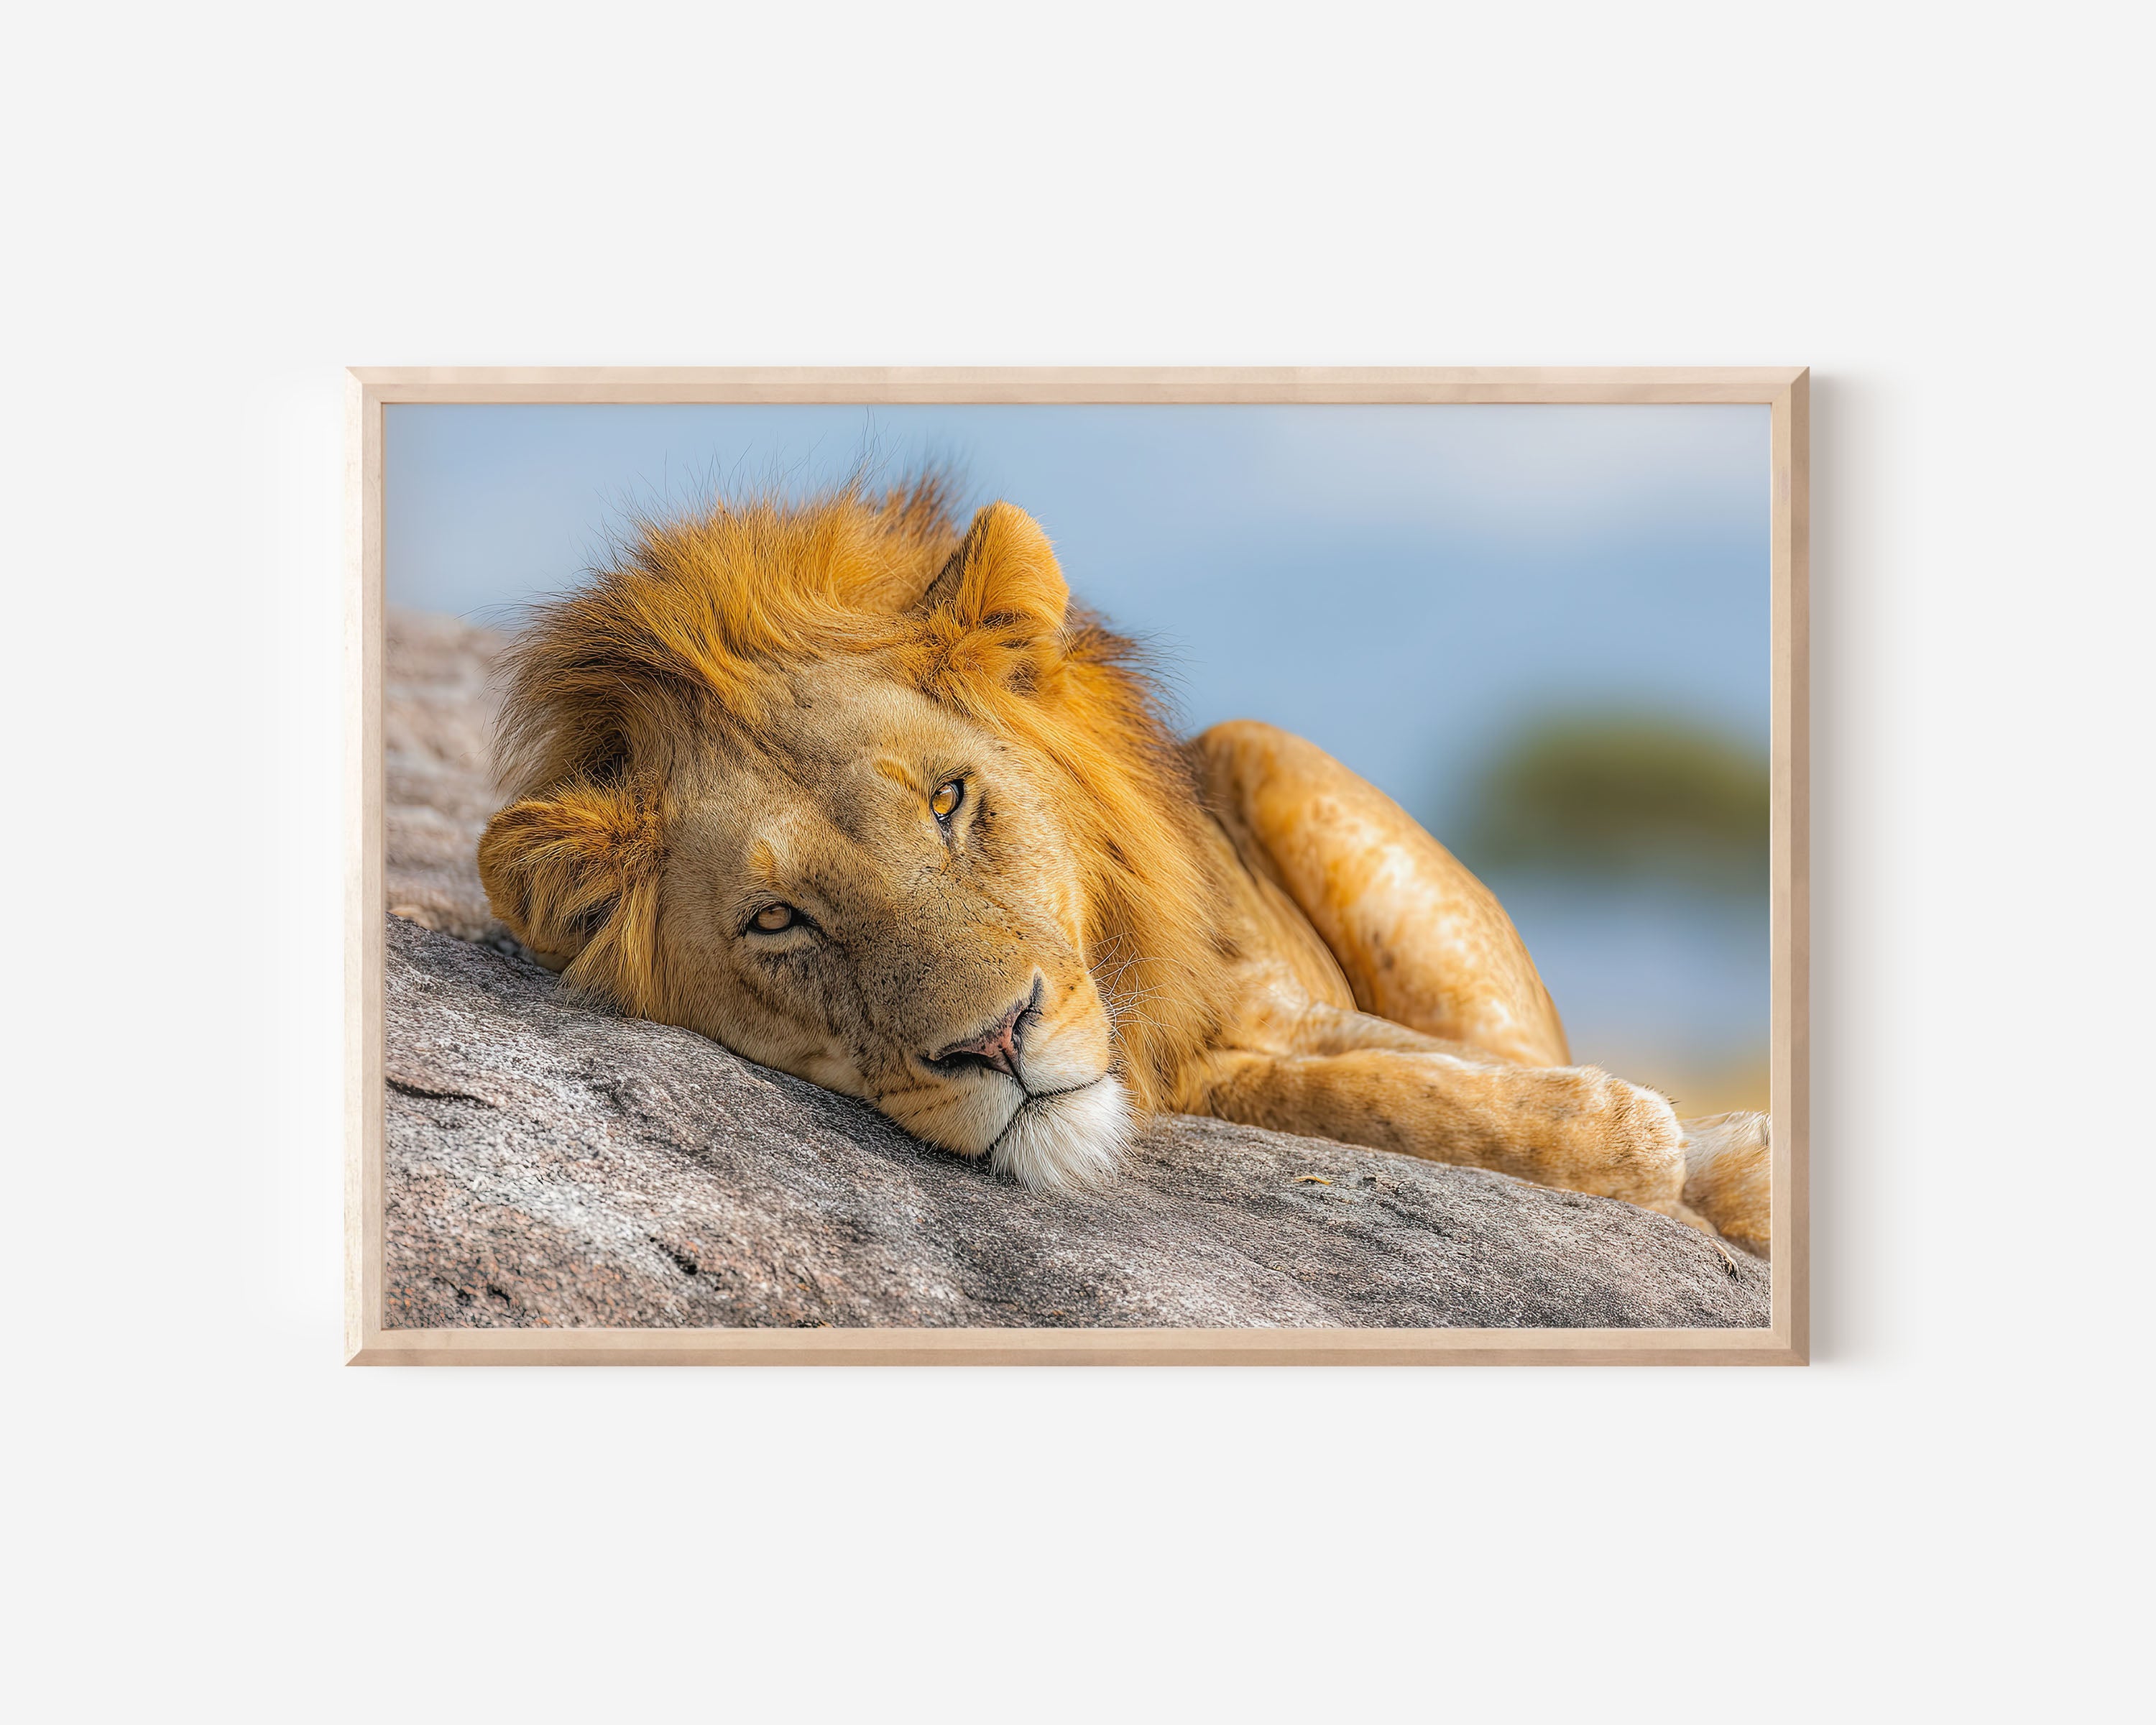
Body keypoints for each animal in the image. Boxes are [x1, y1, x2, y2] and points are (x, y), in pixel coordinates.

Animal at [476, 477, 1772, 1258]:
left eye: (948, 801)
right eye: (779, 920)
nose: (998, 1042)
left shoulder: (1263, 996)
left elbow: (1431, 1075)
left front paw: (1718, 1151)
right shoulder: (1212, 1058)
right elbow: (1372, 1097)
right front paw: (1651, 1141)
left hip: (1267, 751)